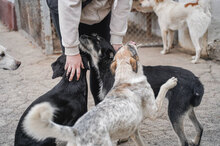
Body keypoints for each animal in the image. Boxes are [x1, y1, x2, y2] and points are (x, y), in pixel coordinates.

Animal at [21, 42, 177, 145]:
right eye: (130, 48)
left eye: (123, 47)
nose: (129, 42)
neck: (125, 77)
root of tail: (76, 131)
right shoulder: (153, 111)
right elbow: (162, 90)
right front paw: (171, 81)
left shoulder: (134, 129)